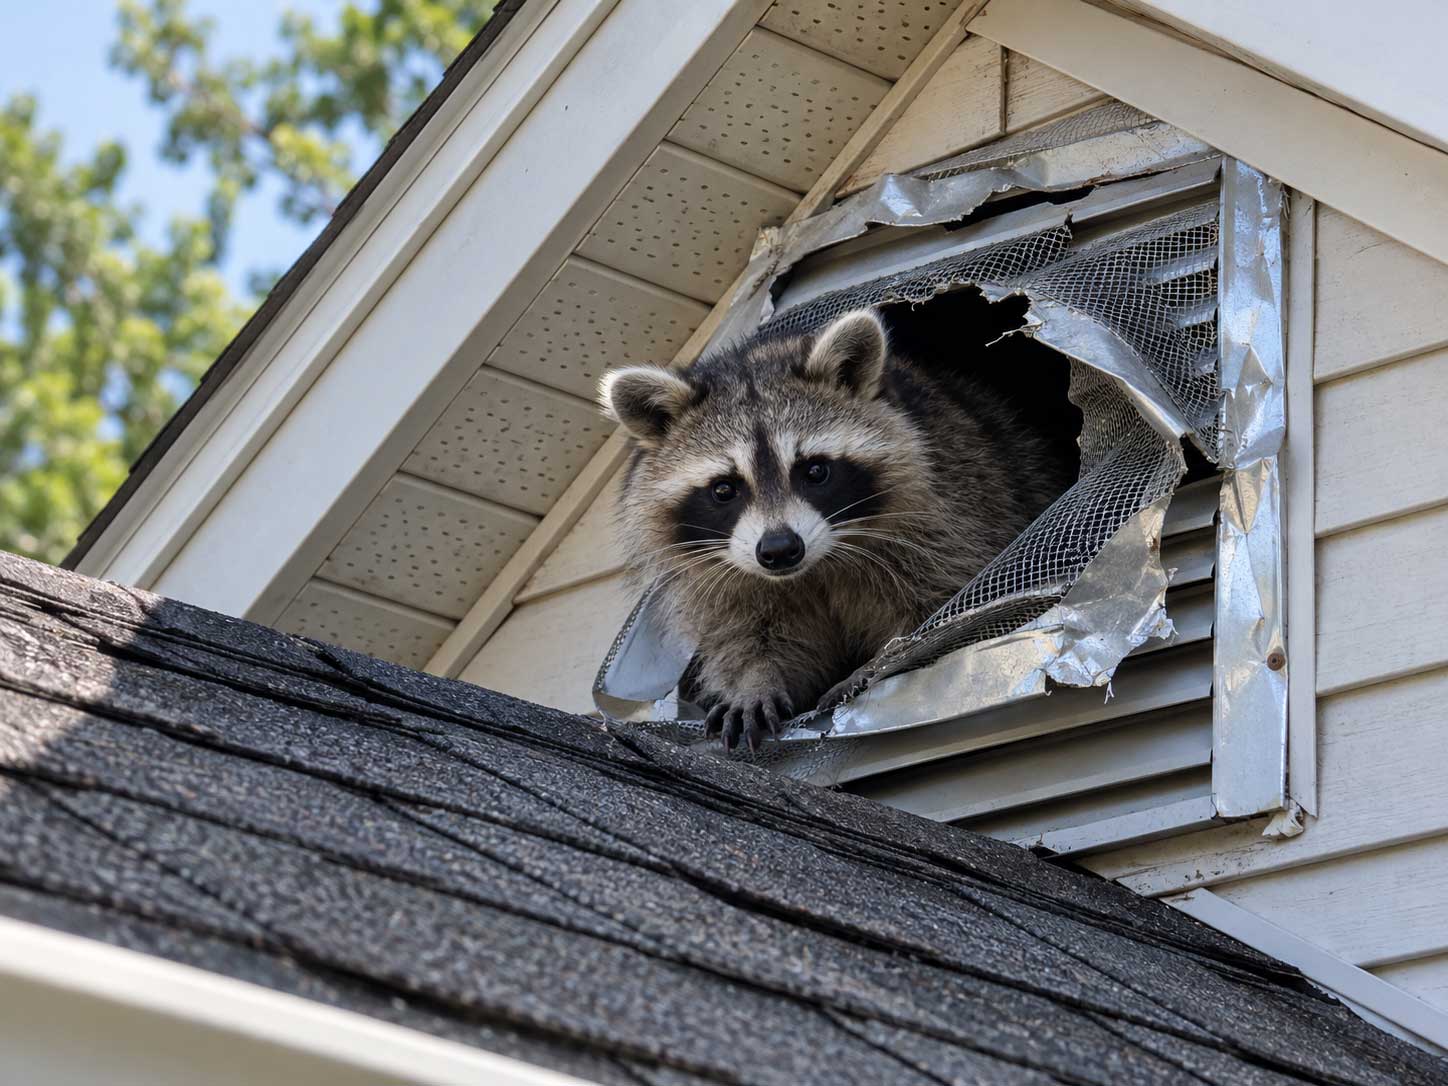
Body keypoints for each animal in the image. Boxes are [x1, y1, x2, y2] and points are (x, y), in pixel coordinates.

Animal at [599, 308, 1074, 752]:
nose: (779, 549)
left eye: (815, 471)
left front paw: (877, 663)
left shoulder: (952, 515)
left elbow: (936, 609)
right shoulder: (727, 579)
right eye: (724, 489)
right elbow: (752, 635)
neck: (815, 568)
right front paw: (754, 681)